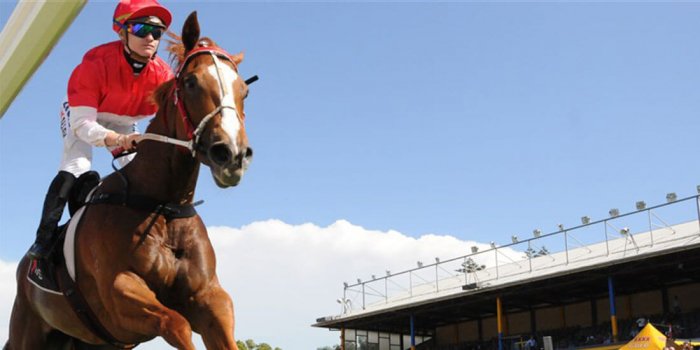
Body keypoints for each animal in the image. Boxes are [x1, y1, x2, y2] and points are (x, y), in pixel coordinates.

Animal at [6, 11, 252, 350]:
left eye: (244, 90)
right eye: (191, 82)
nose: (231, 154)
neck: (163, 204)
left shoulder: (210, 298)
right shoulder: (119, 293)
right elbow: (175, 323)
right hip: (27, 331)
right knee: (73, 165)